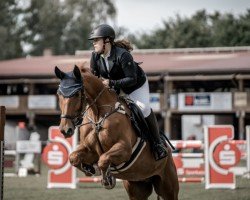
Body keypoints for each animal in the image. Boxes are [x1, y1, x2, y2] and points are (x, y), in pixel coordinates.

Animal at [55, 65, 179, 200]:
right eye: (58, 94)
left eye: (77, 94)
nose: (65, 129)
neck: (98, 115)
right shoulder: (89, 149)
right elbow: (74, 157)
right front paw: (91, 169)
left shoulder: (124, 149)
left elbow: (103, 159)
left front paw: (107, 179)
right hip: (137, 187)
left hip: (168, 188)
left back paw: (160, 150)